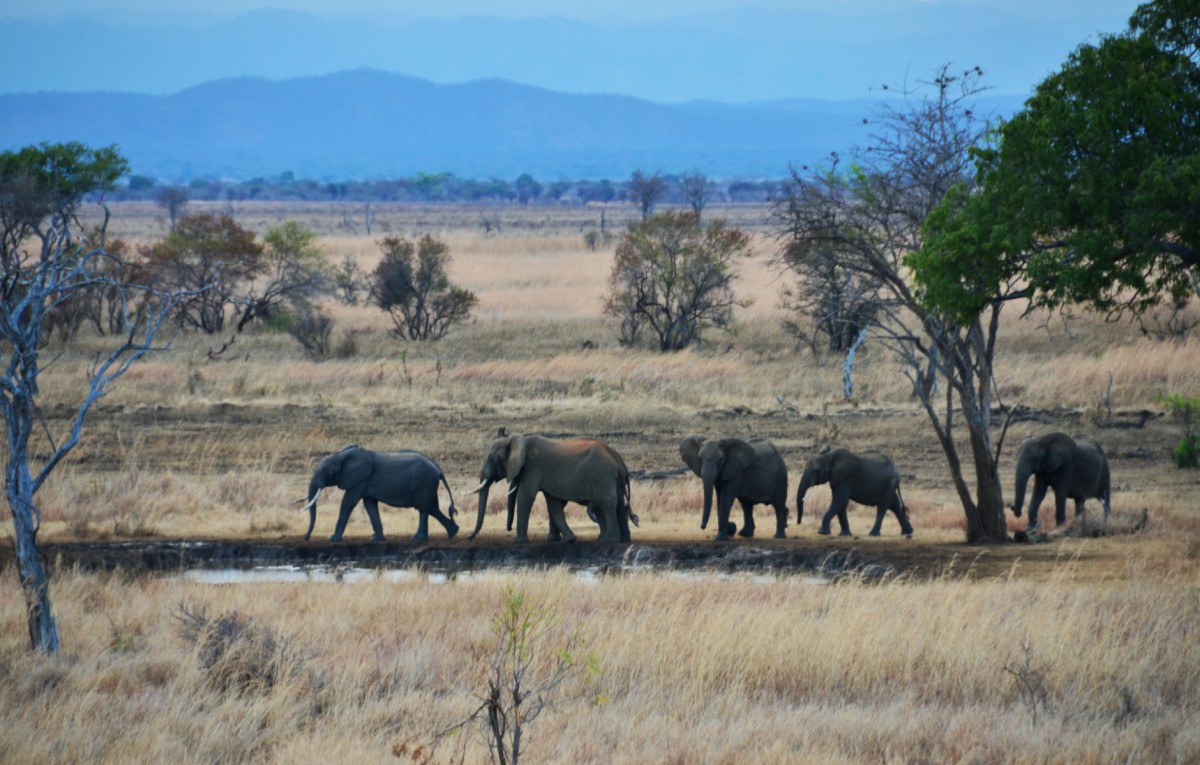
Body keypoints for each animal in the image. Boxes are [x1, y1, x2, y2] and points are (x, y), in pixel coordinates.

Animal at [302, 443, 460, 546]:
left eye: (327, 472)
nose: (306, 537)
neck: (342, 455)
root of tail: (438, 469)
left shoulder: (361, 479)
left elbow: (348, 503)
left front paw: (332, 539)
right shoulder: (365, 482)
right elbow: (369, 504)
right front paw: (376, 540)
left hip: (426, 482)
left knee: (423, 509)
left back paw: (417, 539)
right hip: (429, 484)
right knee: (433, 508)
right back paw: (453, 532)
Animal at [468, 436, 633, 546]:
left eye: (492, 460)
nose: (470, 537)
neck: (519, 441)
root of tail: (618, 459)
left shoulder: (532, 469)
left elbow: (525, 497)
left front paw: (518, 541)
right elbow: (553, 504)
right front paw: (564, 539)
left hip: (602, 476)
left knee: (607, 504)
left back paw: (608, 541)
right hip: (612, 479)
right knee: (618, 505)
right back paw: (623, 539)